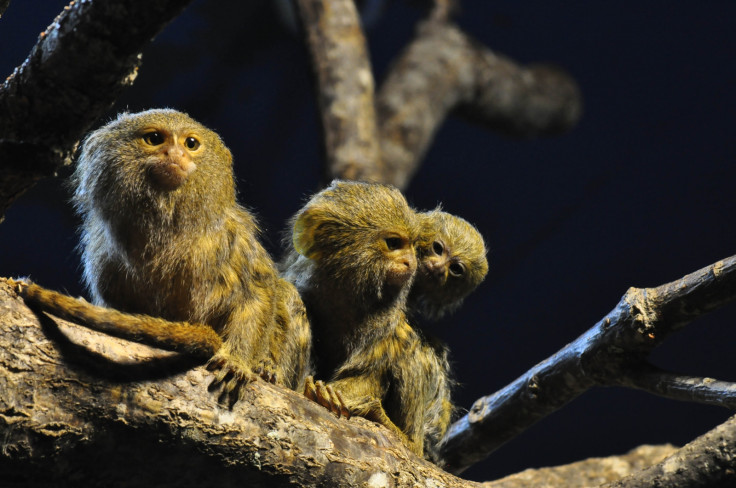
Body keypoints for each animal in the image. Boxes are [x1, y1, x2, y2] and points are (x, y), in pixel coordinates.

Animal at [15, 109, 308, 400]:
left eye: (191, 144)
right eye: (155, 139)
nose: (175, 155)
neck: (169, 227)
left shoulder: (233, 238)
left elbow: (256, 294)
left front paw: (238, 361)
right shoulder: (104, 255)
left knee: (286, 294)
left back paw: (267, 368)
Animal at [282, 181, 454, 460]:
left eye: (413, 247)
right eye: (394, 243)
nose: (410, 262)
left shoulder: (388, 325)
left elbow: (370, 372)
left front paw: (329, 393)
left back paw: (401, 436)